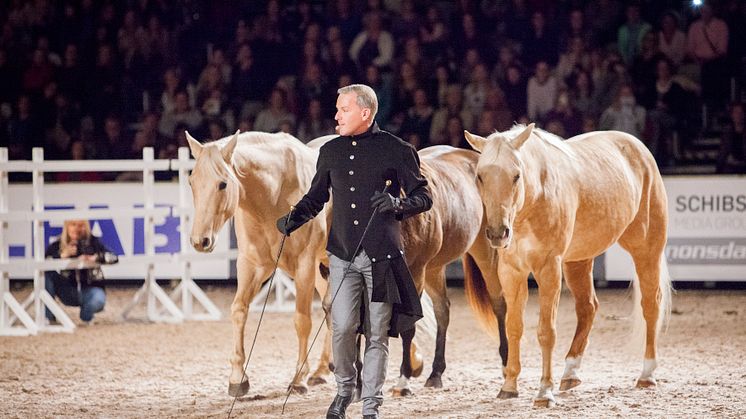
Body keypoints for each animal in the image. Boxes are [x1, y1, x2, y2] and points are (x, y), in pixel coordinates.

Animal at [464, 124, 668, 406]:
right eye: (481, 176)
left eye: (516, 175)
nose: (497, 233)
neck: (535, 200)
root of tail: (640, 150)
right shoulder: (512, 272)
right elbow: (514, 327)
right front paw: (509, 386)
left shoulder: (549, 269)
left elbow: (546, 331)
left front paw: (544, 392)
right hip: (579, 261)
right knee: (588, 307)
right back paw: (570, 373)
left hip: (647, 249)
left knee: (651, 304)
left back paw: (647, 374)